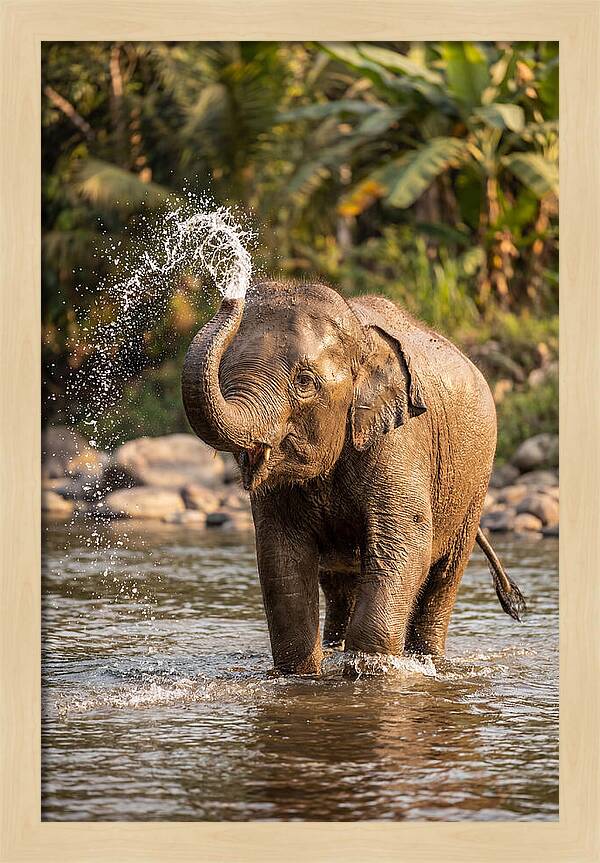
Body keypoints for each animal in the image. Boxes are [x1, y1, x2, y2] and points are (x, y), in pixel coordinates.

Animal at [182, 280, 525, 674]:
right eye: (223, 373)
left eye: (304, 382)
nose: (230, 294)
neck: (361, 336)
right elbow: (281, 557)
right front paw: (303, 673)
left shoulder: (400, 441)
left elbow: (405, 545)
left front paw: (369, 670)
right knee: (338, 582)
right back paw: (335, 646)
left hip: (474, 483)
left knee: (444, 575)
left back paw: (427, 658)